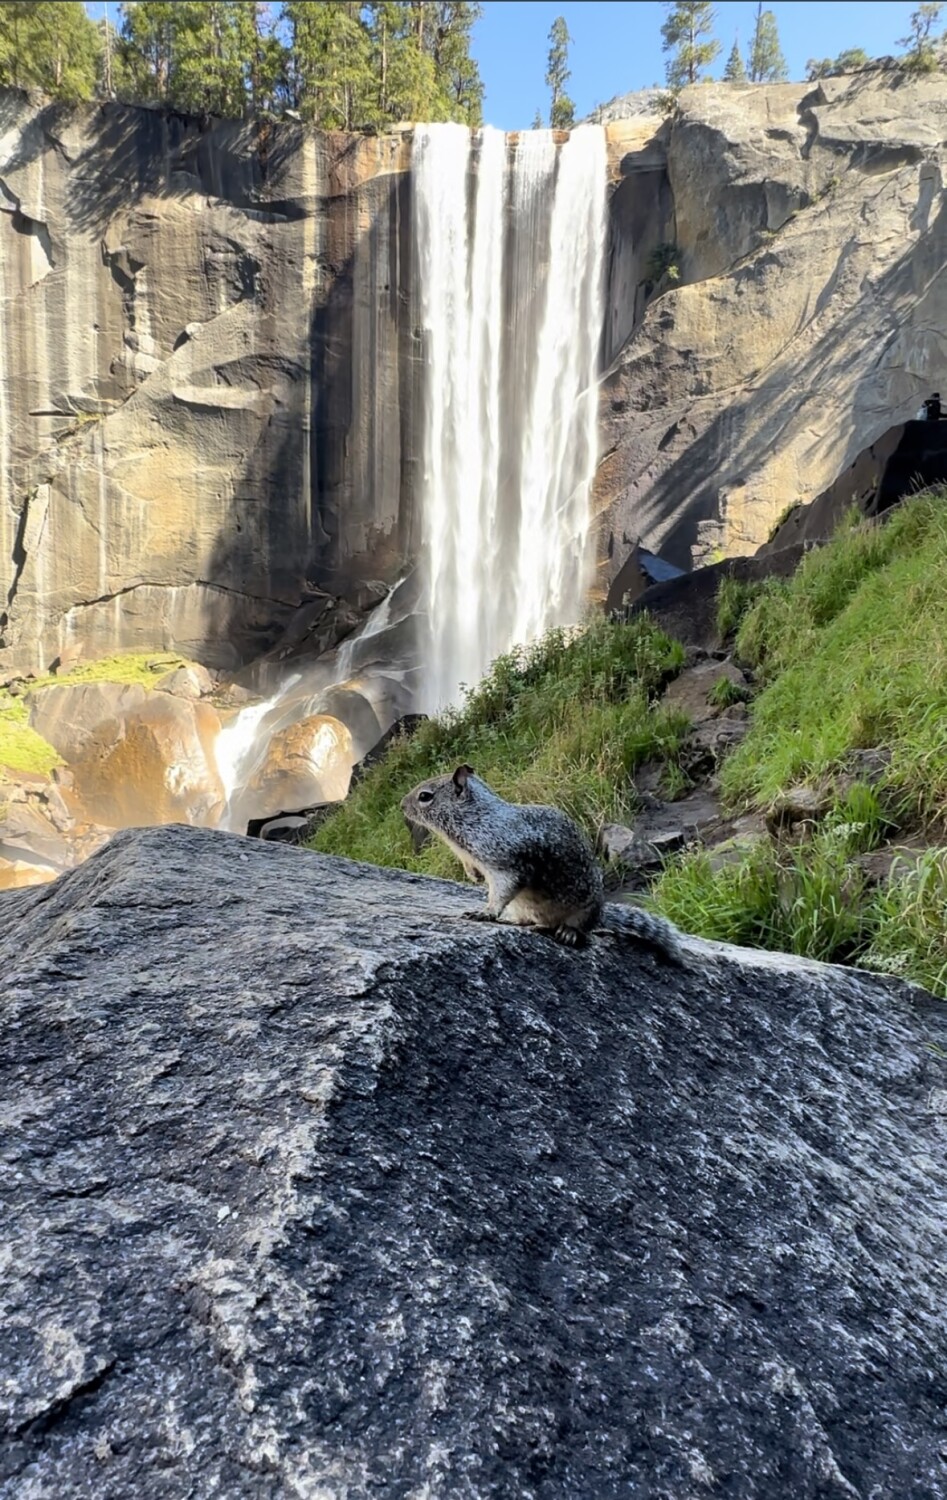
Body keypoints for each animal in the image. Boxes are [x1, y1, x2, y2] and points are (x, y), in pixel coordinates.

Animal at [401, 764, 686, 962]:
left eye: (425, 796)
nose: (402, 805)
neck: (475, 820)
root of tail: (601, 912)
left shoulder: (508, 864)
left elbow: (502, 891)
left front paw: (486, 912)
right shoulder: (468, 856)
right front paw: (473, 877)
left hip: (585, 910)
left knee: (583, 929)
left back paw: (569, 932)